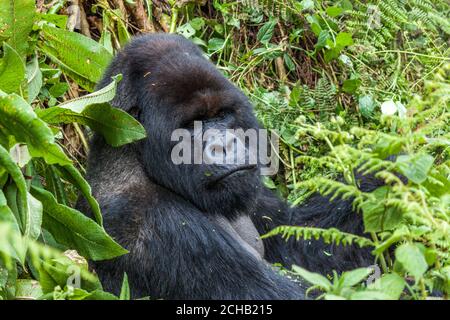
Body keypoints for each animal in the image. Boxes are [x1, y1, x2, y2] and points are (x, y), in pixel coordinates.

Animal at [76, 33, 380, 298]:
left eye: (221, 115)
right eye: (191, 125)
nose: (225, 145)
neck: (137, 161)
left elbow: (306, 244)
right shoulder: (152, 221)